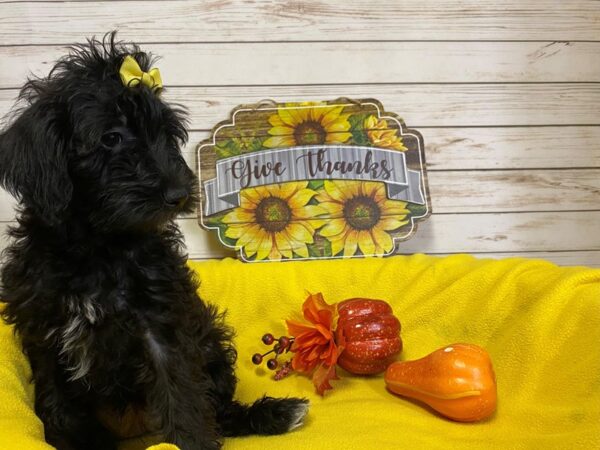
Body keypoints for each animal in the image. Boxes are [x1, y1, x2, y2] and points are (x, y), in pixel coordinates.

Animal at [0, 33, 310, 448]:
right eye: (111, 138)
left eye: (167, 136)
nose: (179, 194)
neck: (99, 245)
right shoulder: (45, 333)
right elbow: (58, 404)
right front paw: (75, 439)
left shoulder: (161, 324)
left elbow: (181, 393)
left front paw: (192, 440)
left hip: (210, 344)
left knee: (221, 410)